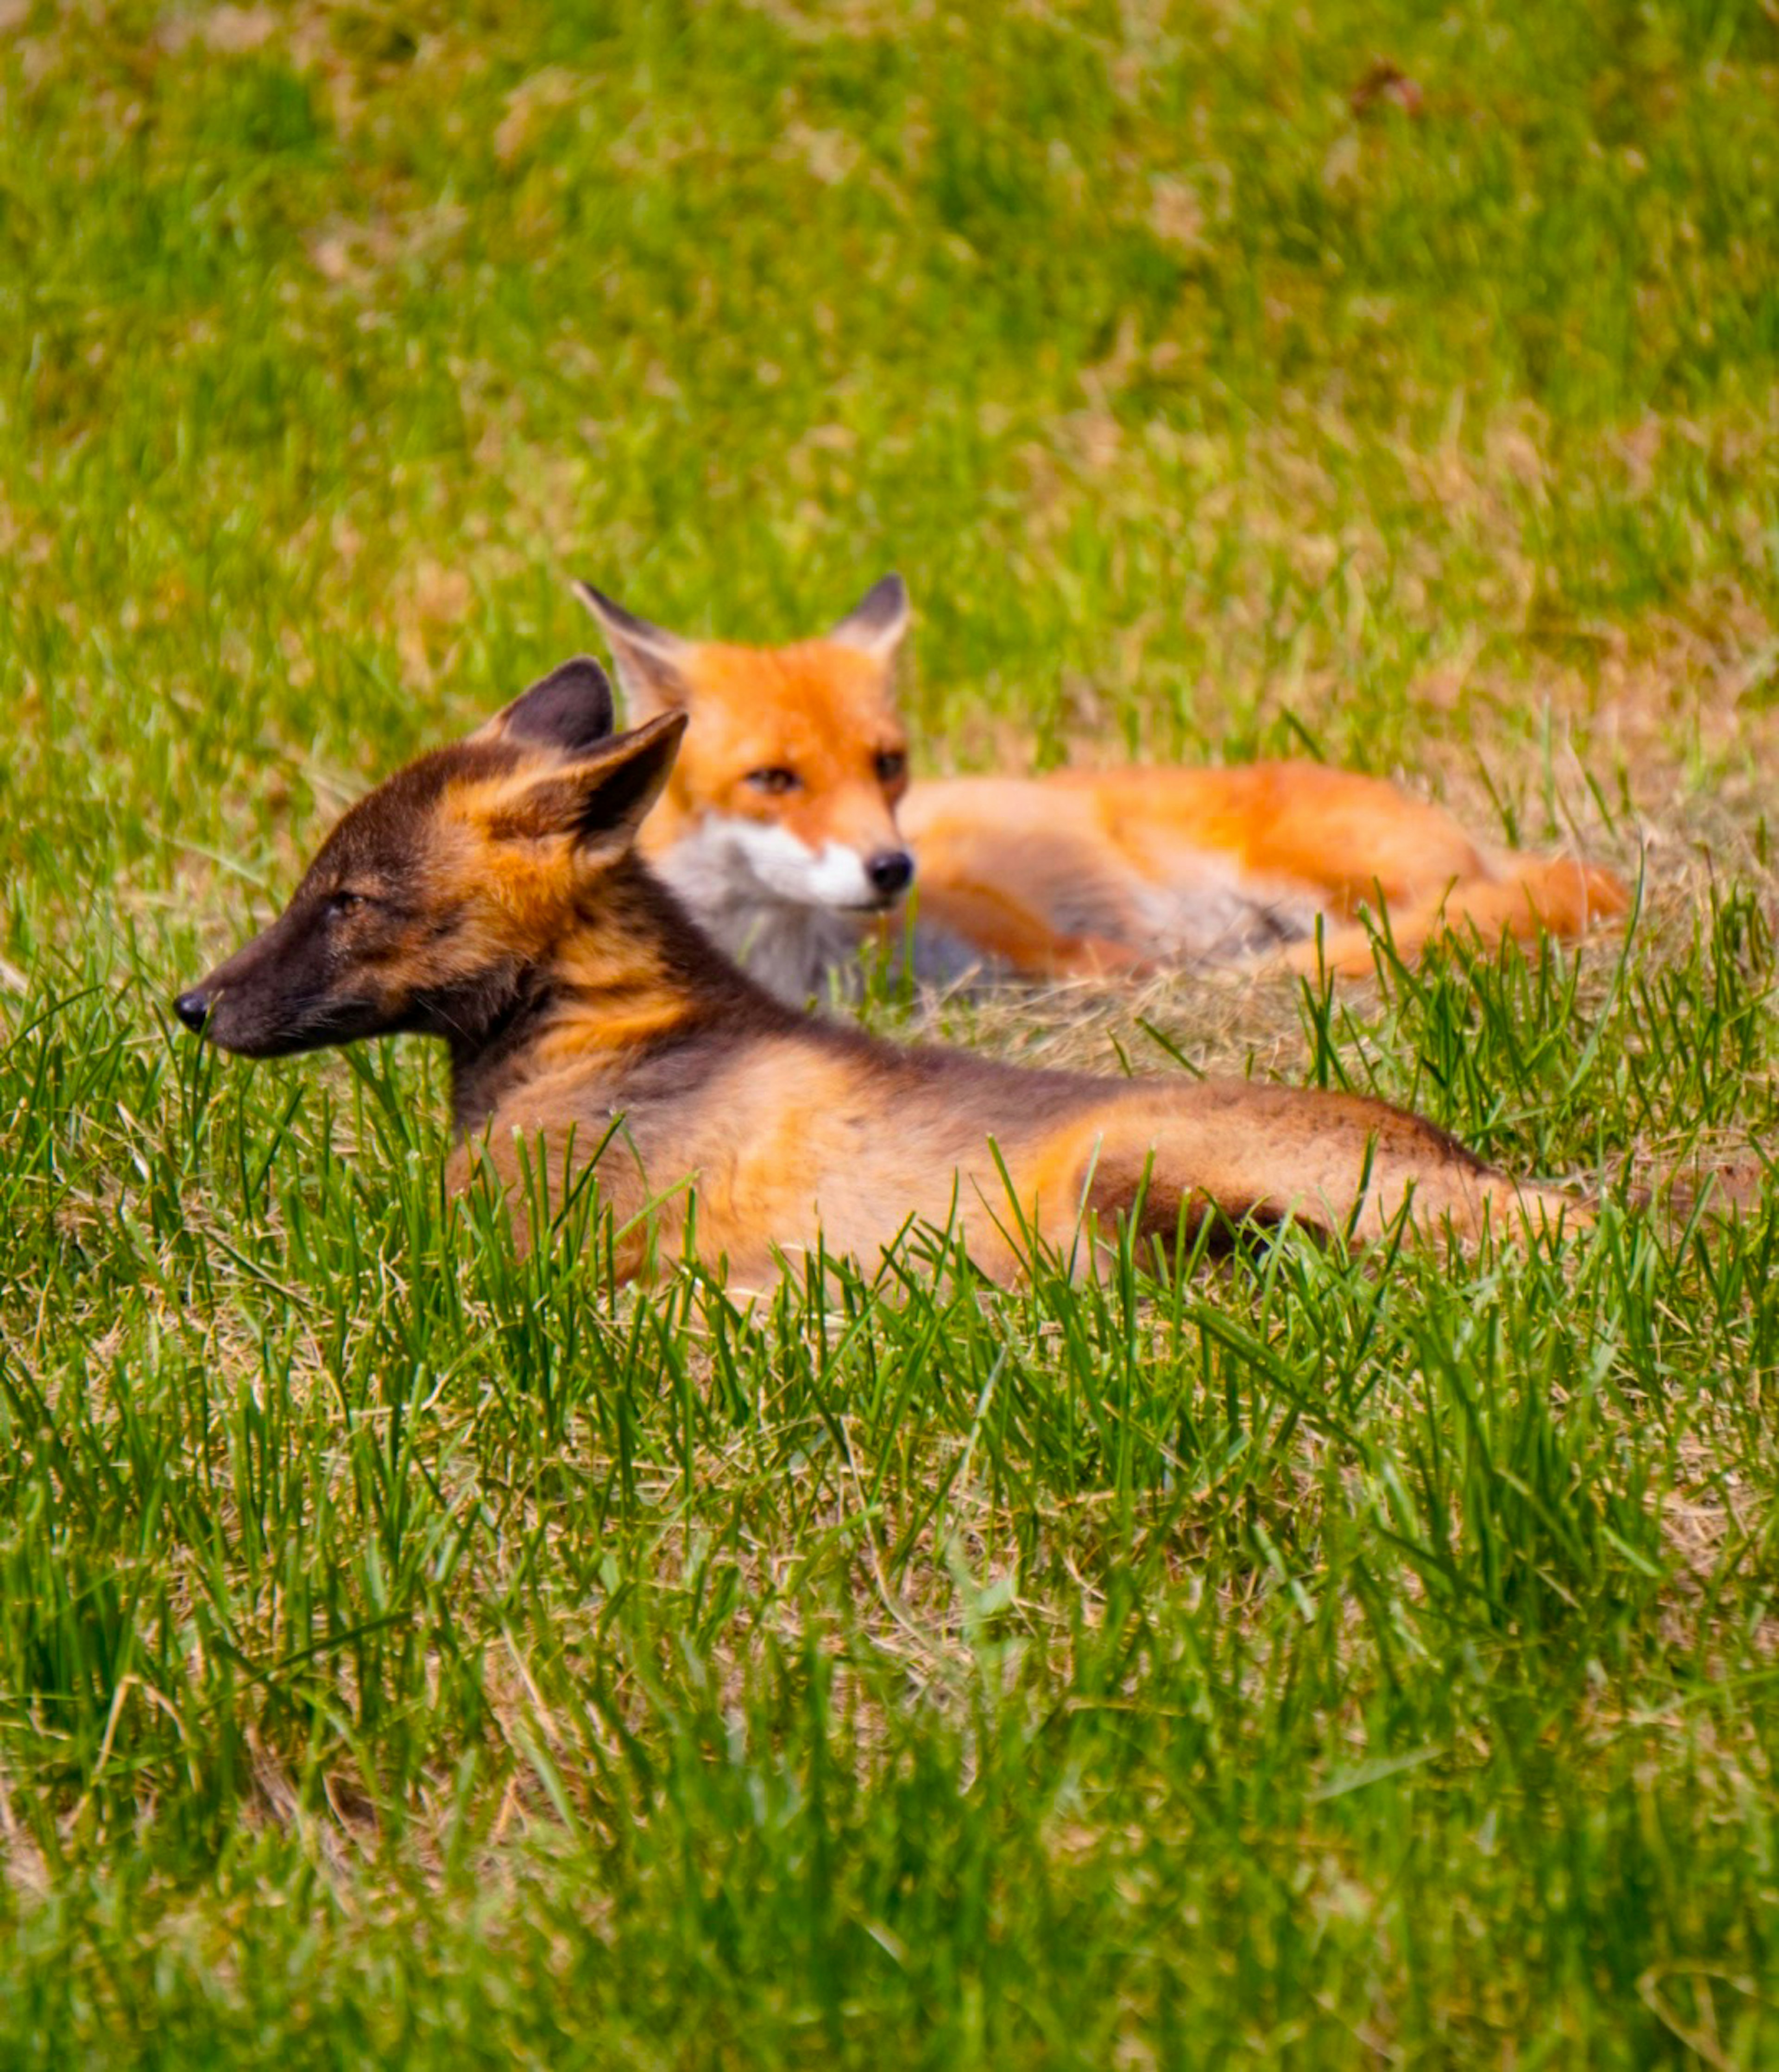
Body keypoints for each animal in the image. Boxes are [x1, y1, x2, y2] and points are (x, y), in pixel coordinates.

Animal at [576, 576, 1625, 1002]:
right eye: (774, 779)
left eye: (887, 762)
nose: (892, 868)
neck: (804, 957)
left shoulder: (1030, 935)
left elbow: (1103, 963)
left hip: (1319, 878)